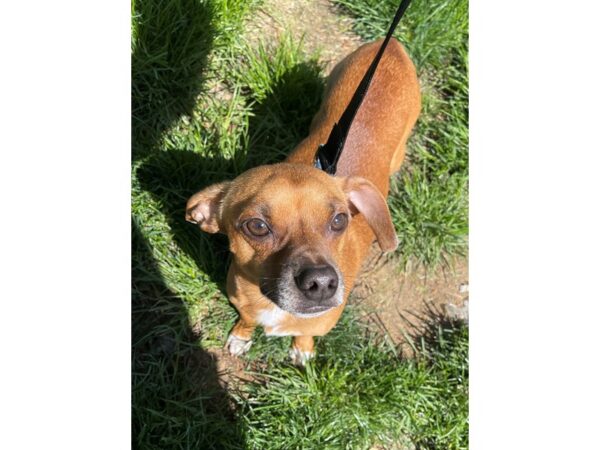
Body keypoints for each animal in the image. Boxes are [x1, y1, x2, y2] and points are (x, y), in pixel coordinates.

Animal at [185, 37, 420, 364]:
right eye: (257, 226)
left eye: (340, 220)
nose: (320, 282)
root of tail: (393, 45)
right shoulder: (242, 302)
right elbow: (246, 319)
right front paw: (241, 336)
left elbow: (305, 335)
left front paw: (302, 350)